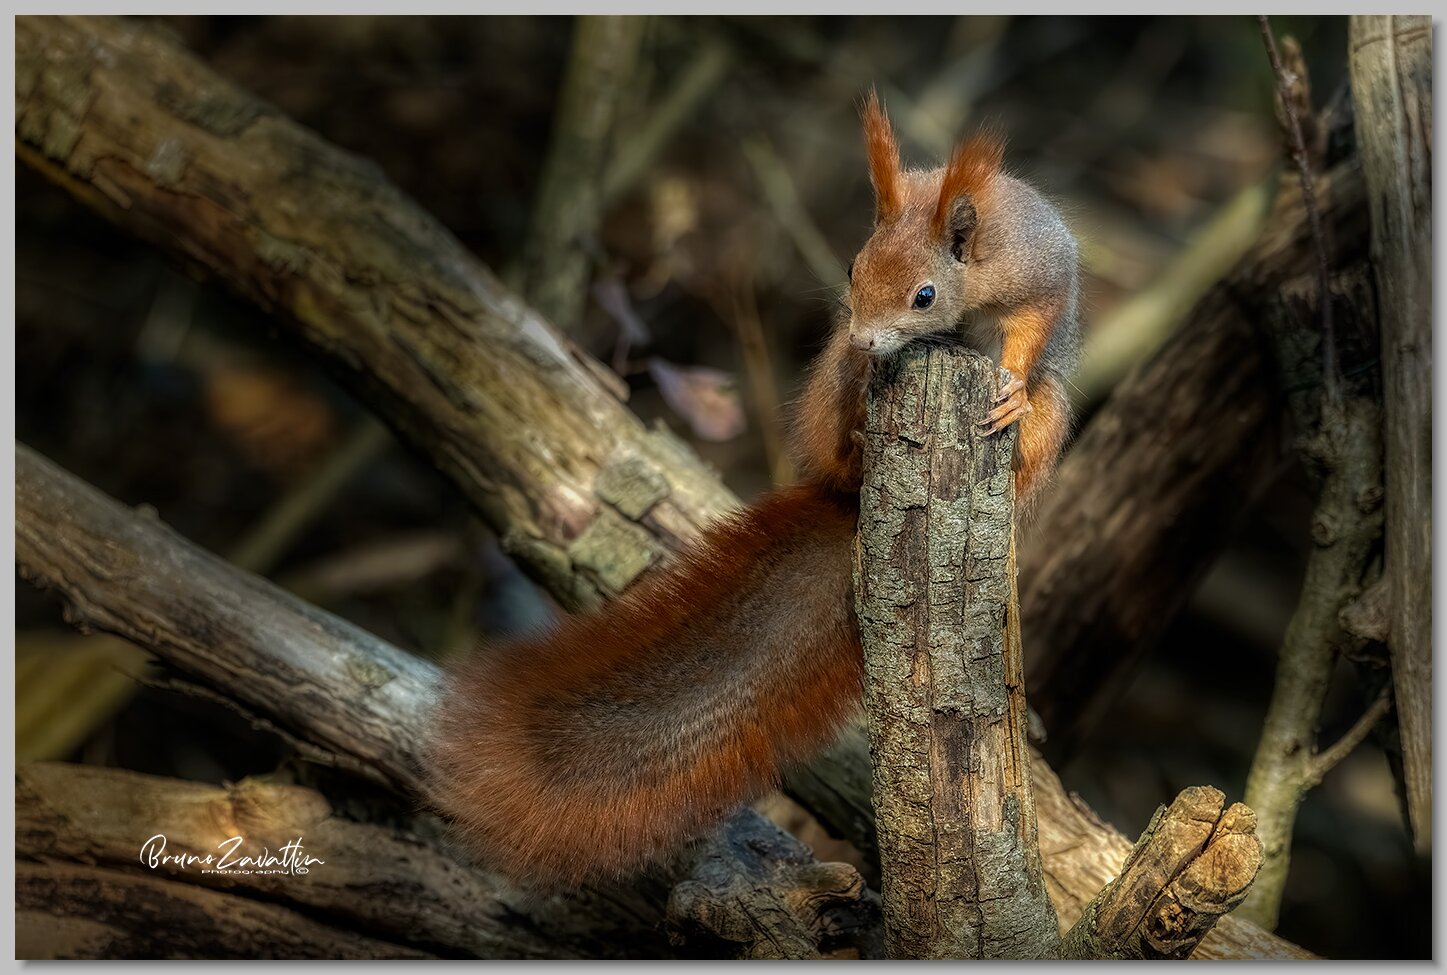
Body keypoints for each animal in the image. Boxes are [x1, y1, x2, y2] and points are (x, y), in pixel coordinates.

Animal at [426, 91, 1080, 888]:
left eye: (924, 295)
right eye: (854, 266)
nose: (865, 341)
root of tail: (853, 503)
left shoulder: (1037, 273)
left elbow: (1035, 325)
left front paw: (1008, 386)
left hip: (1048, 424)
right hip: (827, 394)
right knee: (839, 434)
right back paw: (856, 432)